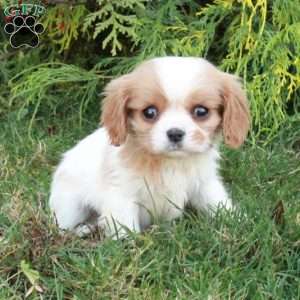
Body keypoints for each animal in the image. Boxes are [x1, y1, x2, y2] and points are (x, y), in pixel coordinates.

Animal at [49, 56, 251, 237]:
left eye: (201, 111)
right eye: (149, 112)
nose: (175, 133)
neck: (170, 162)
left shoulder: (204, 184)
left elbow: (218, 203)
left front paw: (239, 221)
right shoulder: (122, 195)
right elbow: (125, 228)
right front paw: (130, 246)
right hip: (70, 206)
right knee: (62, 227)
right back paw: (81, 230)